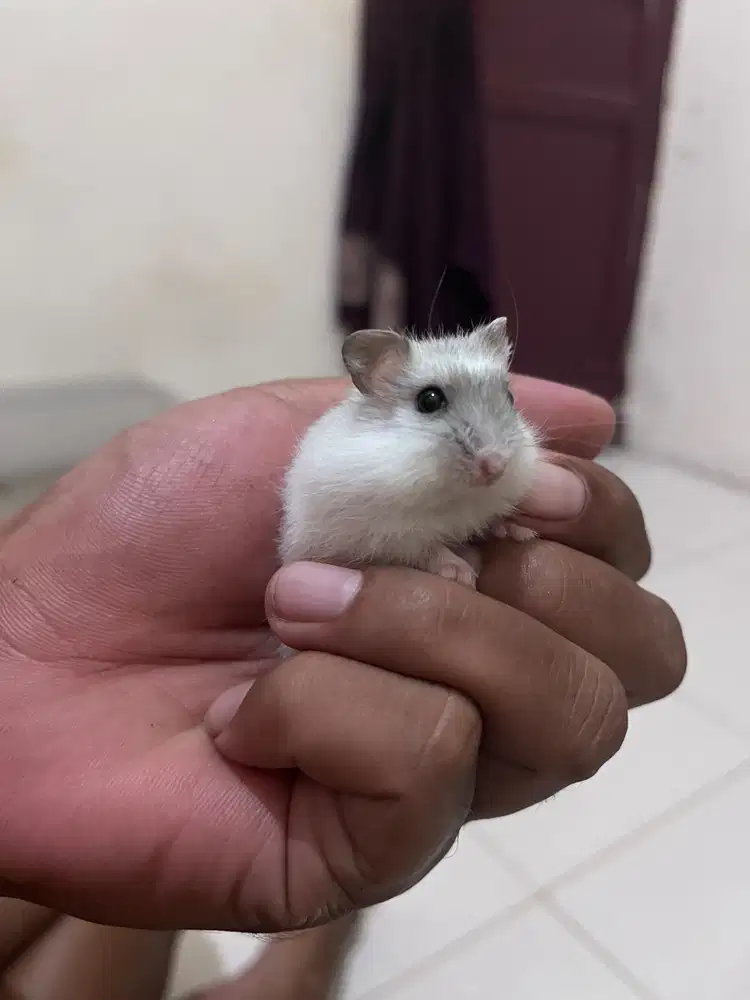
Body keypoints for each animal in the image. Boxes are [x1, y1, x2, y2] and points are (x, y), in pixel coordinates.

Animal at [279, 319, 541, 588]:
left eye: (510, 397)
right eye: (429, 400)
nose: (496, 467)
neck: (456, 495)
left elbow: (493, 520)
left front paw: (523, 534)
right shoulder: (392, 536)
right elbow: (429, 549)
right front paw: (462, 574)